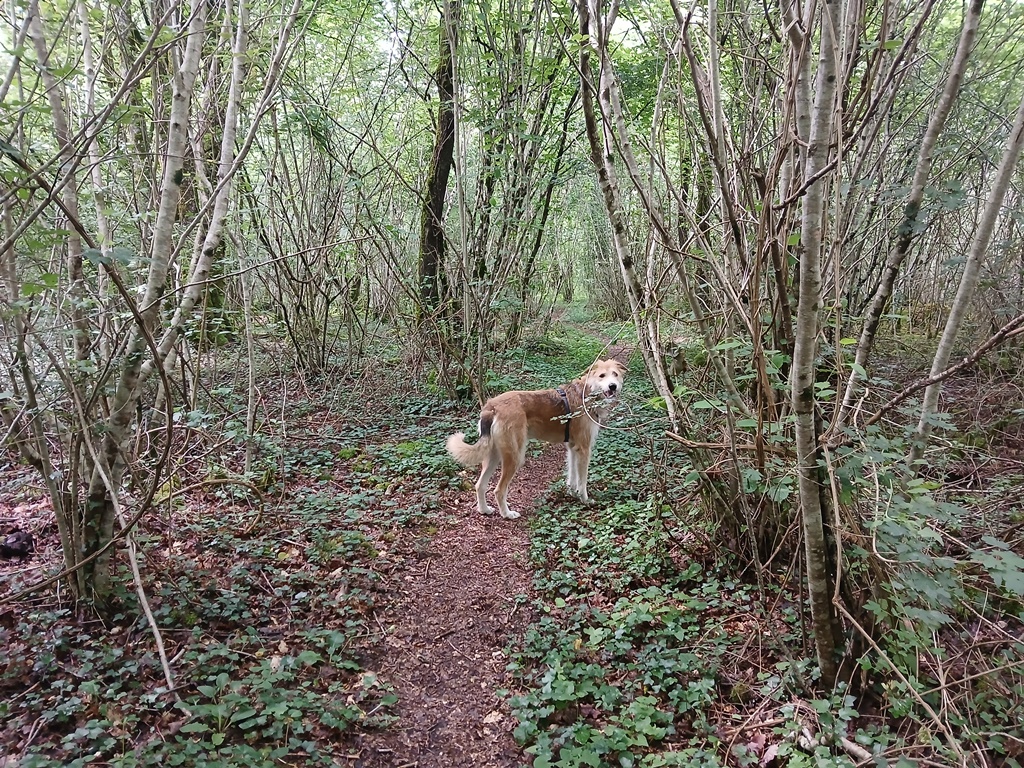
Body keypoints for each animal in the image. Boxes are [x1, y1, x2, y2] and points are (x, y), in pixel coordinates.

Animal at [446, 362, 622, 520]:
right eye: (602, 376)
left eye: (615, 374)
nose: (613, 386)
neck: (585, 393)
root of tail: (492, 406)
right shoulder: (584, 449)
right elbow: (582, 481)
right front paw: (584, 500)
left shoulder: (573, 448)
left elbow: (572, 477)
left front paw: (572, 494)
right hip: (515, 457)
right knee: (499, 490)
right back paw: (507, 514)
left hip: (493, 455)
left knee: (480, 485)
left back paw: (484, 510)